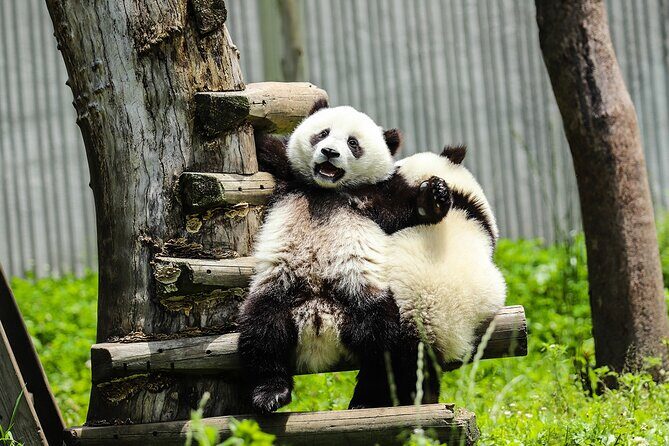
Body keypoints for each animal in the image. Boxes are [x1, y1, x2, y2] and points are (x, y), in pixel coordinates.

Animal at [237, 100, 452, 413]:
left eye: (353, 143)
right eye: (323, 133)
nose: (330, 152)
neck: (327, 190)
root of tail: (320, 322)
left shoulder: (375, 196)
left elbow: (410, 208)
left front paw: (436, 194)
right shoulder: (286, 171)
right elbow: (267, 148)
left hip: (366, 298)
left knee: (384, 345)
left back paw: (368, 399)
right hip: (279, 291)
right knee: (262, 332)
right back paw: (271, 393)